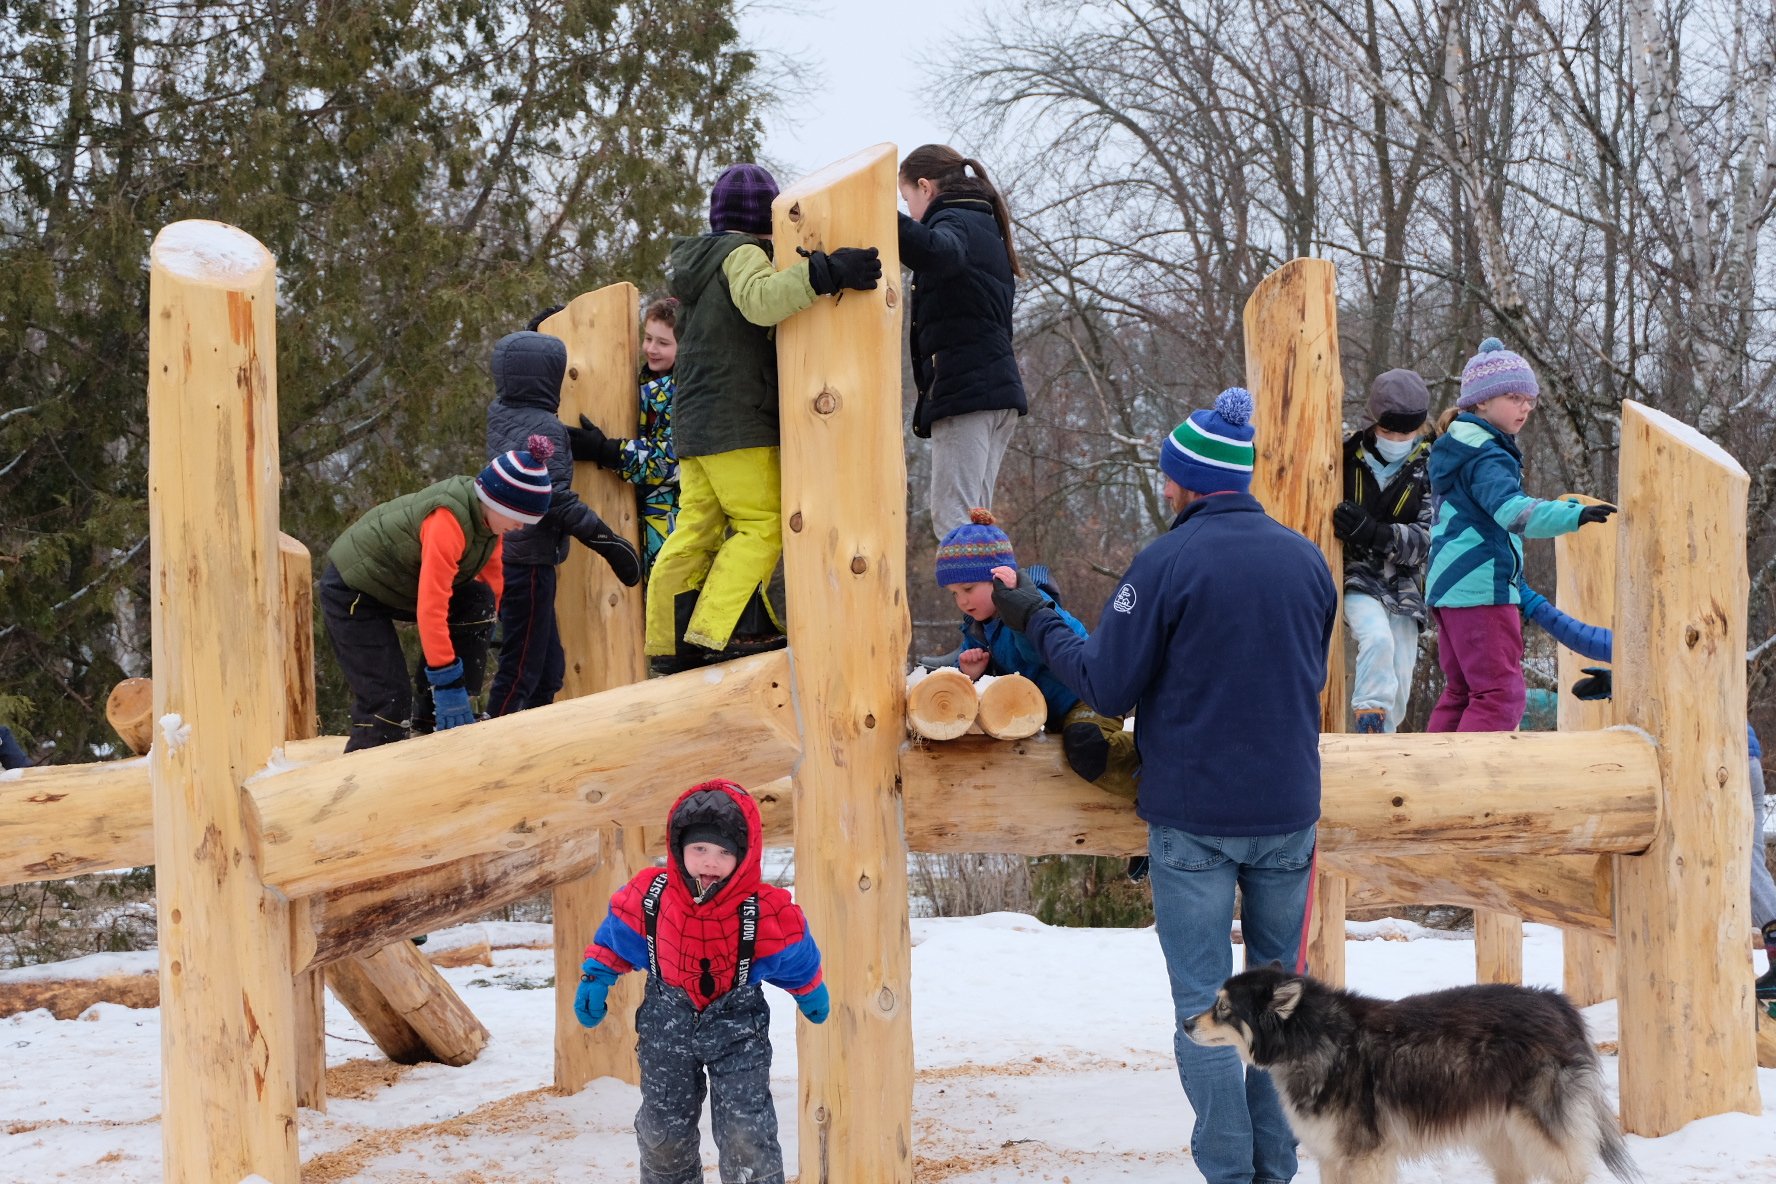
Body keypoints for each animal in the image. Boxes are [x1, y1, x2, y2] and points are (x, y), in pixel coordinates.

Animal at [1186, 965, 1641, 1184]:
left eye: (1223, 1008)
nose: (1186, 1024)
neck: (1317, 1038)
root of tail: (1556, 1002)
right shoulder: (1333, 1157)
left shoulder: (1366, 1157)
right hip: (1501, 1136)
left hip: (1542, 1133)